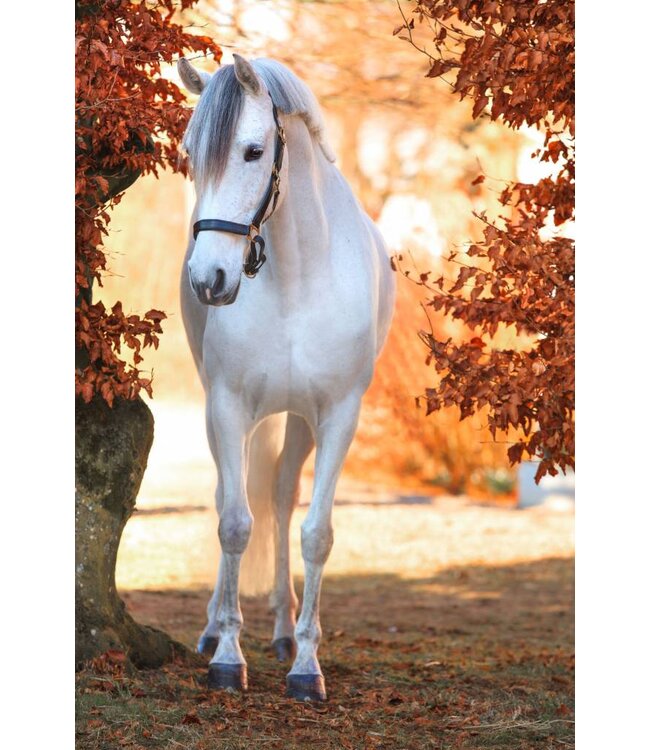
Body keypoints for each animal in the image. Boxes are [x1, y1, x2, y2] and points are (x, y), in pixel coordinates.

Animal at [176, 53, 395, 701]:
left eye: (253, 151)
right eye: (191, 152)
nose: (208, 279)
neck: (299, 272)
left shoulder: (339, 415)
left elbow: (315, 533)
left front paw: (307, 666)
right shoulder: (227, 407)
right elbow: (232, 523)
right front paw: (227, 657)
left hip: (298, 420)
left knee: (279, 495)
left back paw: (281, 633)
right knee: (233, 498)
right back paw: (214, 630)